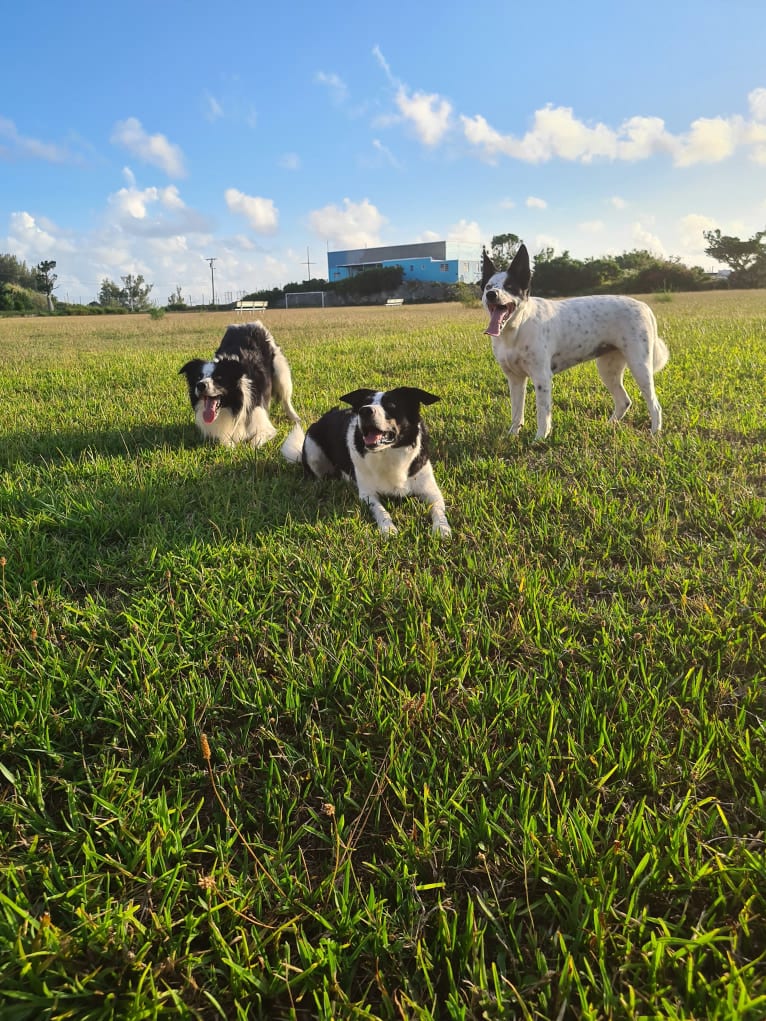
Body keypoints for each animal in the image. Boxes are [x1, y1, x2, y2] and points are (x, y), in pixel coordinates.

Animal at [179, 318, 302, 455]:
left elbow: (254, 442)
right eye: (198, 377)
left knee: (286, 399)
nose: (200, 385)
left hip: (281, 373)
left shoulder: (264, 427)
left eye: (219, 378)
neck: (233, 407)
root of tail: (248, 323)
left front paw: (247, 450)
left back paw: (296, 418)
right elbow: (226, 442)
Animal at [285, 385, 453, 539]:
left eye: (391, 404)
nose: (364, 411)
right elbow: (381, 510)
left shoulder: (432, 491)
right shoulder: (368, 495)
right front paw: (388, 528)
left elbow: (438, 510)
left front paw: (442, 528)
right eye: (364, 403)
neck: (388, 453)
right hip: (312, 450)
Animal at [482, 247, 669, 443]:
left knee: (654, 405)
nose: (491, 294)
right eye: (488, 286)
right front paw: (512, 435)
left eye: (510, 287)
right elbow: (516, 412)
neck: (517, 327)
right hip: (608, 368)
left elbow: (543, 413)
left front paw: (540, 439)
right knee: (623, 401)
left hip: (640, 366)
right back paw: (608, 425)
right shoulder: (515, 379)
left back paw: (654, 433)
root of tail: (644, 306)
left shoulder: (542, 377)